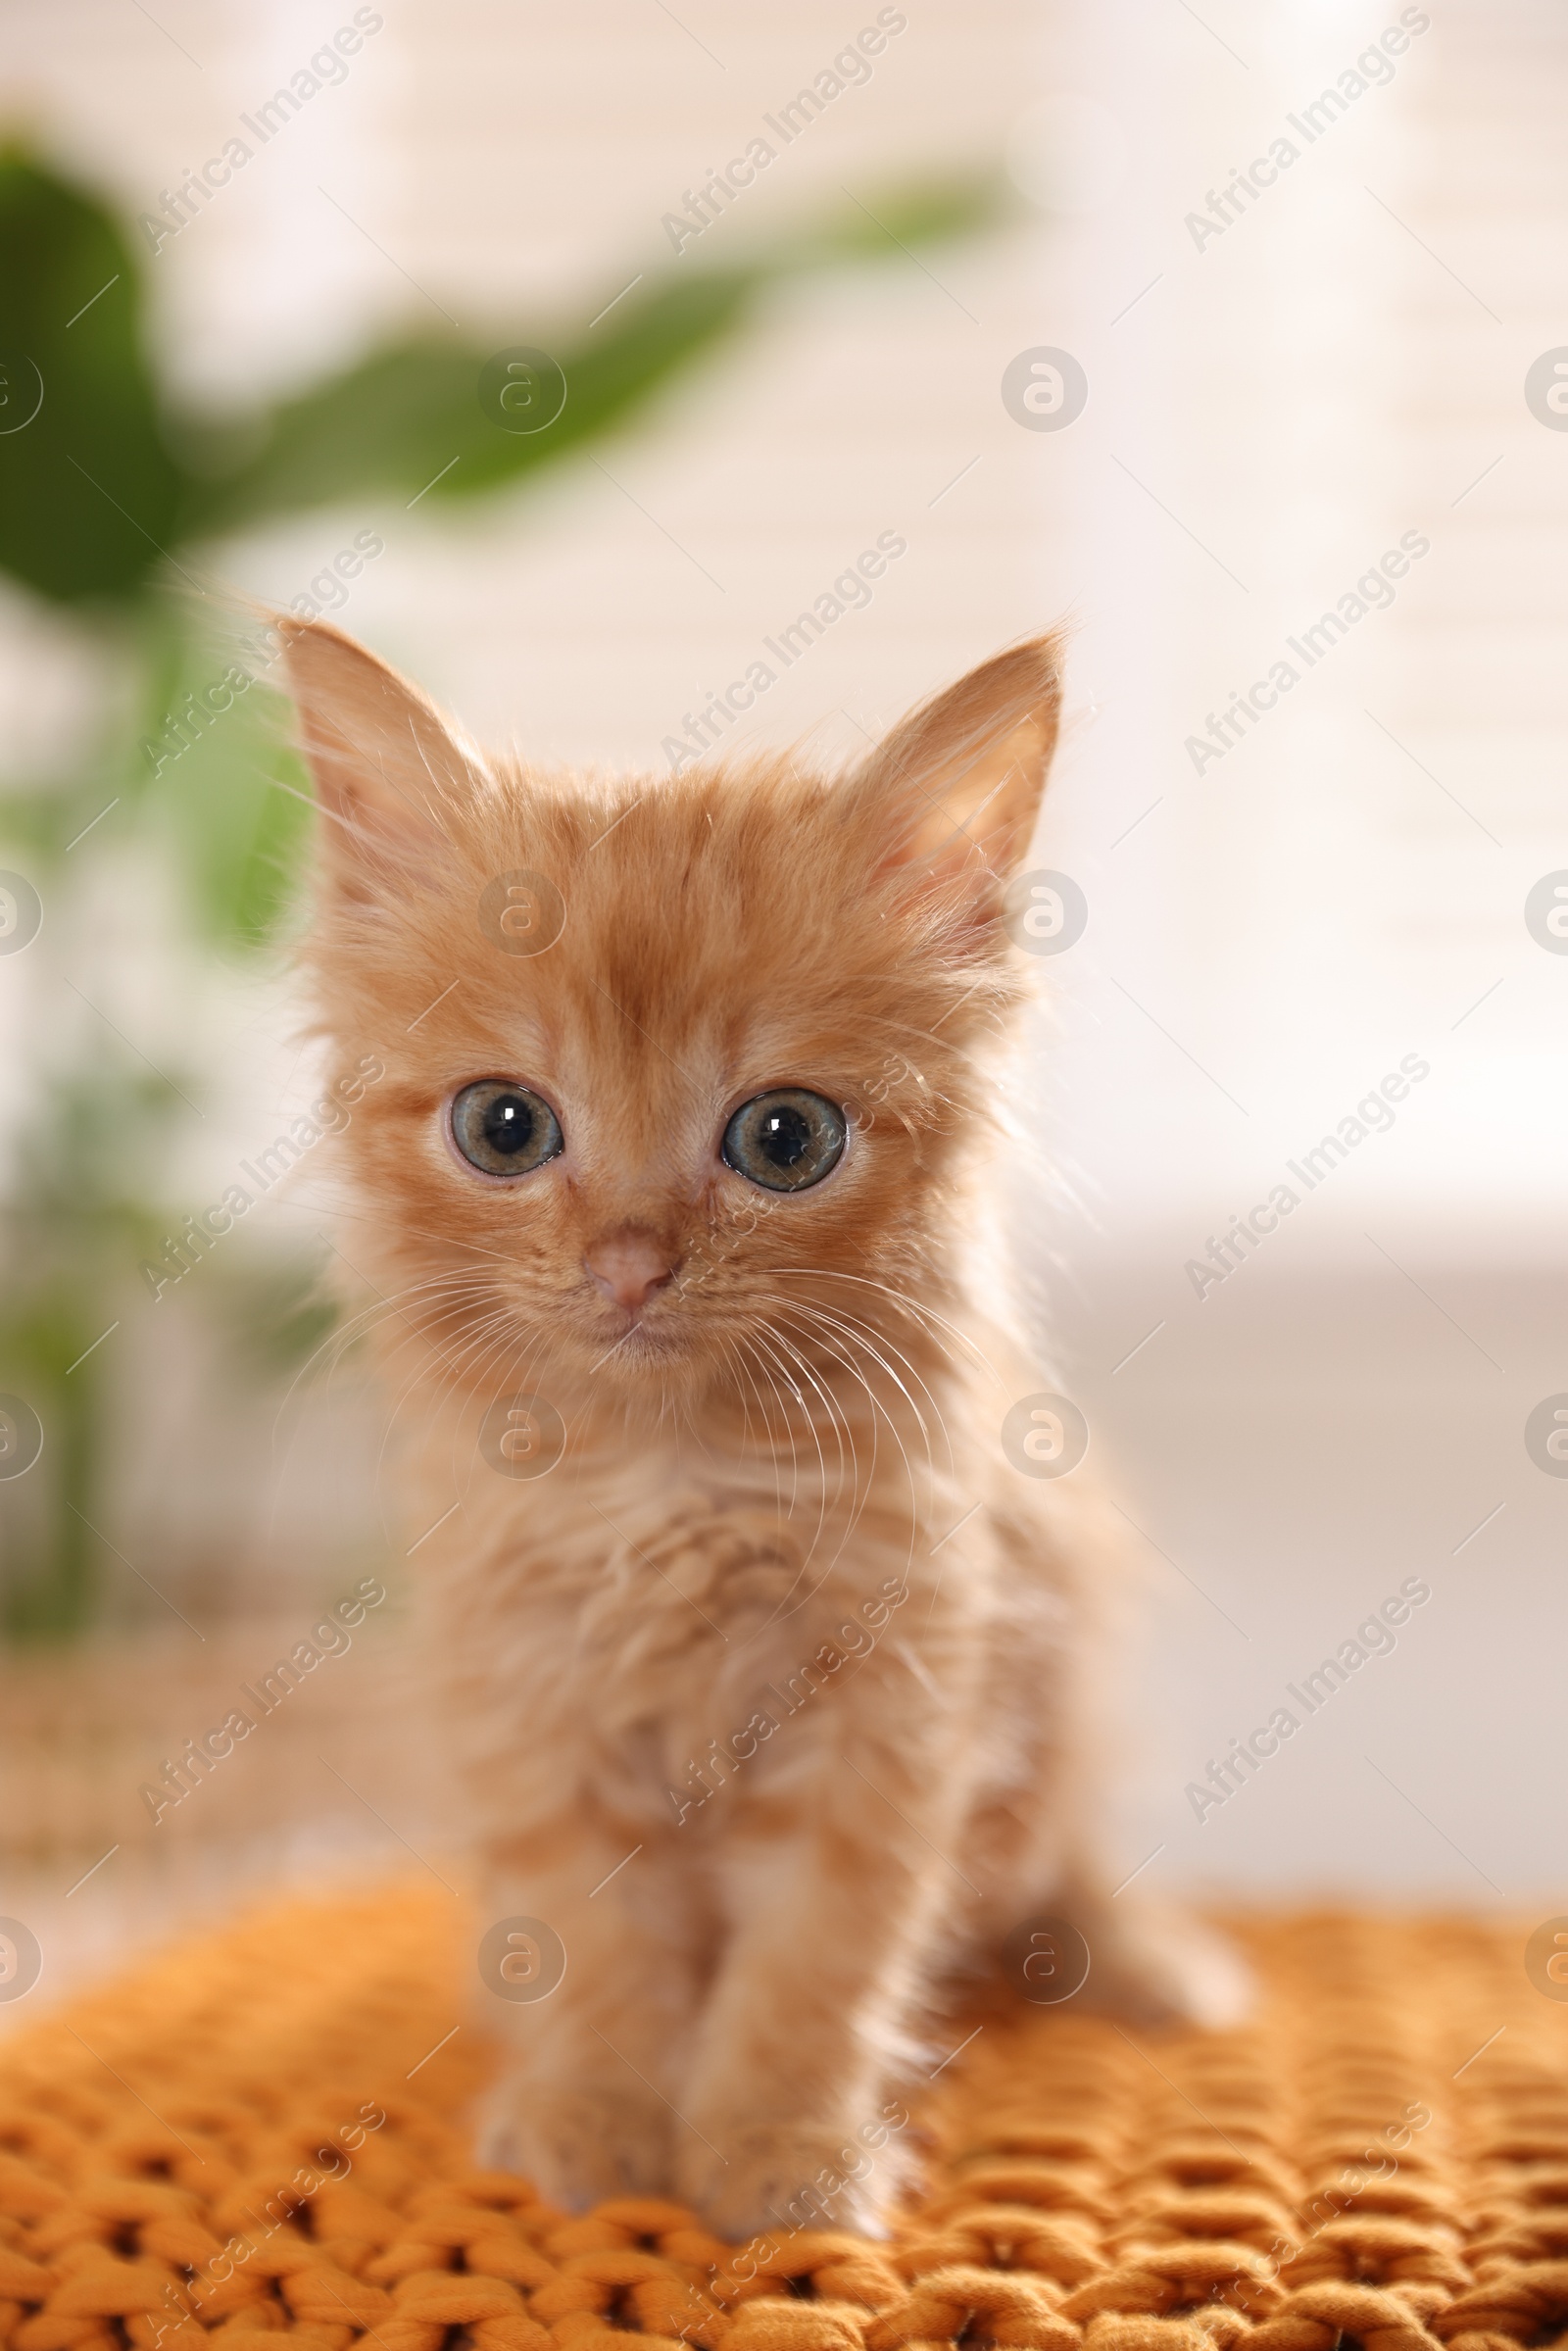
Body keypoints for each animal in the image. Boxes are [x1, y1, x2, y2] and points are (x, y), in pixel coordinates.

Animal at [285, 625, 1241, 2237]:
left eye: (784, 1138)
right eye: (501, 1126)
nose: (629, 1261)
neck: (671, 1482)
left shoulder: (897, 1699)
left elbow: (817, 1960)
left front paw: (778, 2147)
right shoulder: (531, 1700)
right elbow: (594, 1944)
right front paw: (598, 2114)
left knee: (1065, 1865)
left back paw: (1149, 1965)